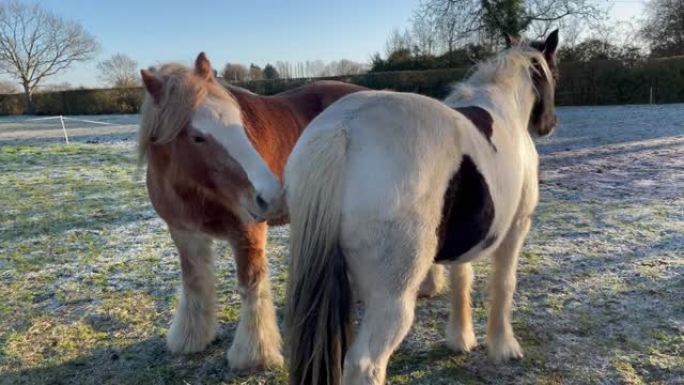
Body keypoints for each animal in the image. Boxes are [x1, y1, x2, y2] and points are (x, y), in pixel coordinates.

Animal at [136, 54, 366, 368]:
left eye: (241, 124)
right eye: (197, 137)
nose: (272, 195)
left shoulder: (248, 232)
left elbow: (251, 286)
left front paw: (254, 354)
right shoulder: (184, 234)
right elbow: (194, 282)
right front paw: (190, 338)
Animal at [286, 30, 560, 384]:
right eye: (554, 72)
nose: (548, 125)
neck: (503, 106)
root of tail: (344, 129)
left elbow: (462, 279)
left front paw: (460, 338)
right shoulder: (516, 228)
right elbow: (504, 283)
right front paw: (504, 346)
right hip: (393, 294)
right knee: (365, 363)